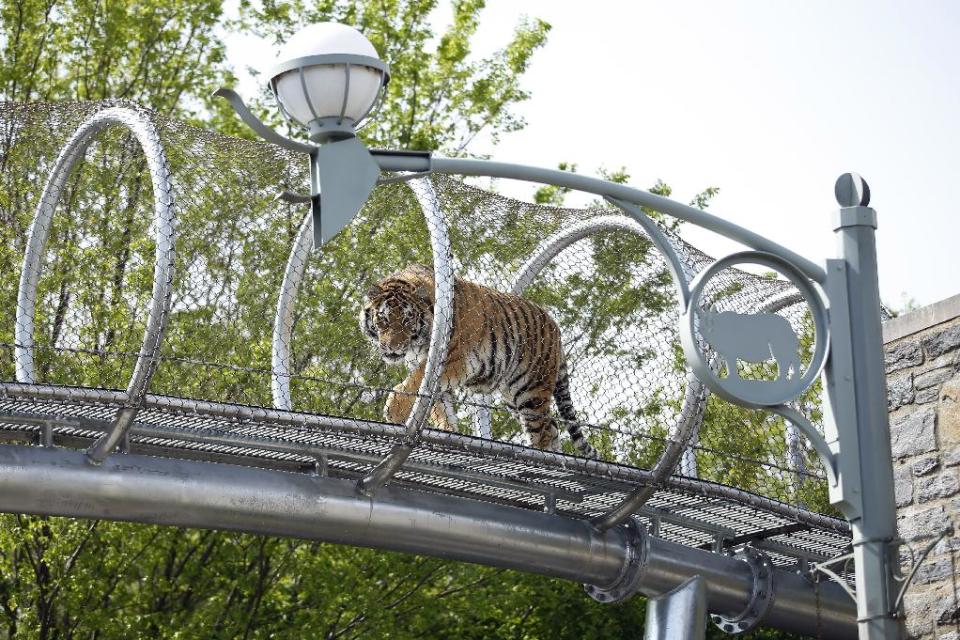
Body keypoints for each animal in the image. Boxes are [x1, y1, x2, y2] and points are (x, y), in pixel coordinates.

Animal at [360, 262, 596, 458]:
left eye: (407, 320)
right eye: (383, 318)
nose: (392, 347)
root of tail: (556, 329)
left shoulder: (451, 359)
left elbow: (414, 383)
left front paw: (394, 411)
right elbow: (440, 407)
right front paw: (447, 433)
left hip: (531, 391)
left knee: (543, 432)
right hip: (513, 394)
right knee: (552, 427)